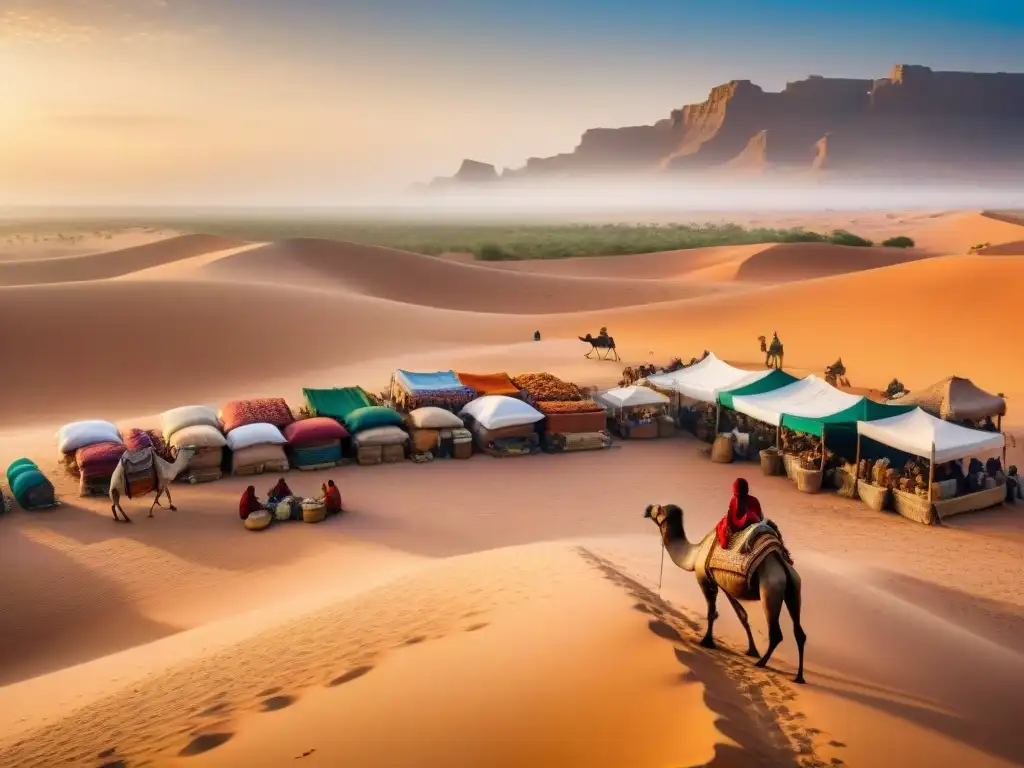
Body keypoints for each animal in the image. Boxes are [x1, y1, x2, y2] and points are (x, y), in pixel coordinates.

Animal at [643, 505, 802, 684]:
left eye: (659, 509)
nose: (648, 508)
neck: (695, 554)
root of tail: (781, 563)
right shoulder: (723, 584)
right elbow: (742, 616)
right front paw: (752, 650)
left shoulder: (704, 579)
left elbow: (711, 612)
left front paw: (707, 641)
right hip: (794, 588)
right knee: (799, 632)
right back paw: (799, 677)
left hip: (770, 590)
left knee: (776, 633)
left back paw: (761, 663)